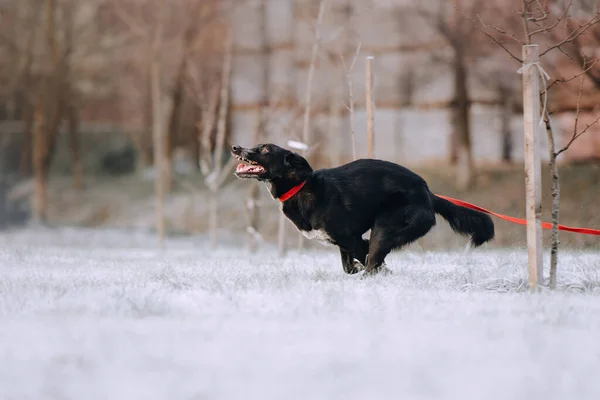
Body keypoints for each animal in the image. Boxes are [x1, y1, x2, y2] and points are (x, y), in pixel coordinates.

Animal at [232, 143, 494, 276]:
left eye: (265, 149)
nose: (235, 147)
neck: (300, 185)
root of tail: (428, 193)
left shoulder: (352, 238)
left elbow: (366, 260)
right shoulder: (346, 240)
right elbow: (348, 266)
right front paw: (355, 269)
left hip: (384, 229)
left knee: (373, 262)